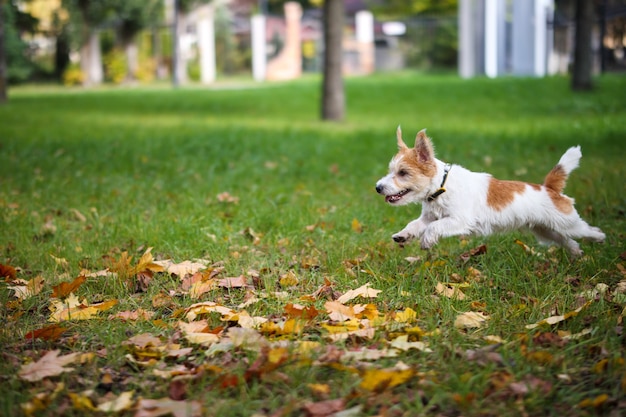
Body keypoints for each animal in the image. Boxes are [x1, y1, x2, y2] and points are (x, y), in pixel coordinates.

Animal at [372, 127, 604, 256]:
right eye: (391, 170)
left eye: (403, 173)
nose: (378, 187)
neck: (441, 187)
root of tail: (549, 188)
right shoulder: (429, 217)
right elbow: (416, 224)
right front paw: (403, 235)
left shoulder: (459, 220)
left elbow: (434, 227)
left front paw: (427, 240)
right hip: (545, 230)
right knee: (566, 240)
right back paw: (576, 252)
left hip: (568, 223)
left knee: (588, 230)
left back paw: (599, 239)